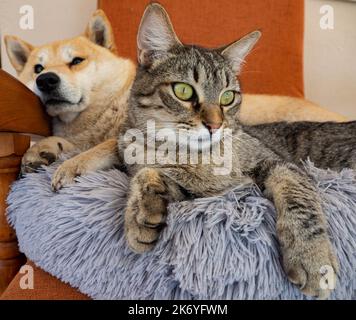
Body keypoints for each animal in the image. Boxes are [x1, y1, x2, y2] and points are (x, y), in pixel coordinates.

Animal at [5, 10, 136, 172]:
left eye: (77, 61)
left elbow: (106, 145)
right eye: (38, 68)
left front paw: (73, 165)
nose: (45, 80)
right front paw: (41, 148)